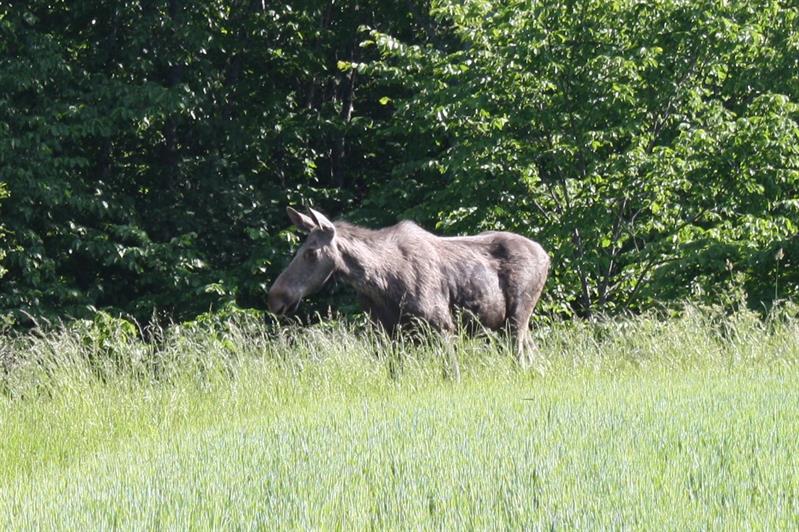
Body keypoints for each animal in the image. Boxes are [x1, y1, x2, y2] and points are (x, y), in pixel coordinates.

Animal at [268, 208, 552, 366]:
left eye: (311, 252)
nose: (274, 297)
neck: (379, 284)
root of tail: (546, 255)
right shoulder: (387, 333)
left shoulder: (442, 326)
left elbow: (451, 374)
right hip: (512, 324)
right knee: (536, 357)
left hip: (516, 319)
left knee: (521, 360)